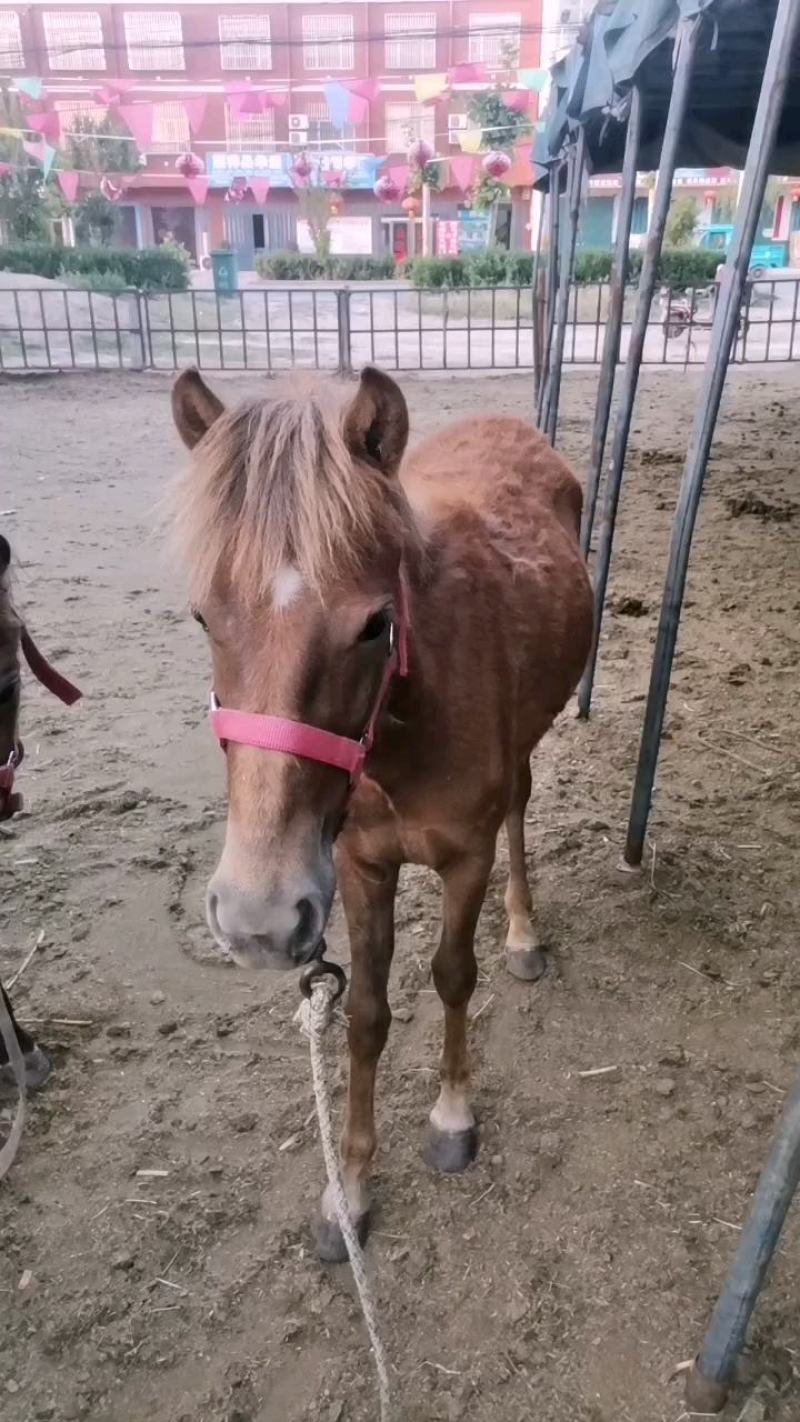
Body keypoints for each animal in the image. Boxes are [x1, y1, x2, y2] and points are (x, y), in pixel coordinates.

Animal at [171, 365, 593, 1259]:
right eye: (202, 616)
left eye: (374, 624)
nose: (258, 919)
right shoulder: (359, 867)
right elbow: (364, 1016)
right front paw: (351, 1193)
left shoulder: (465, 857)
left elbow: (453, 974)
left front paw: (453, 1118)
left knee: (520, 809)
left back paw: (524, 933)